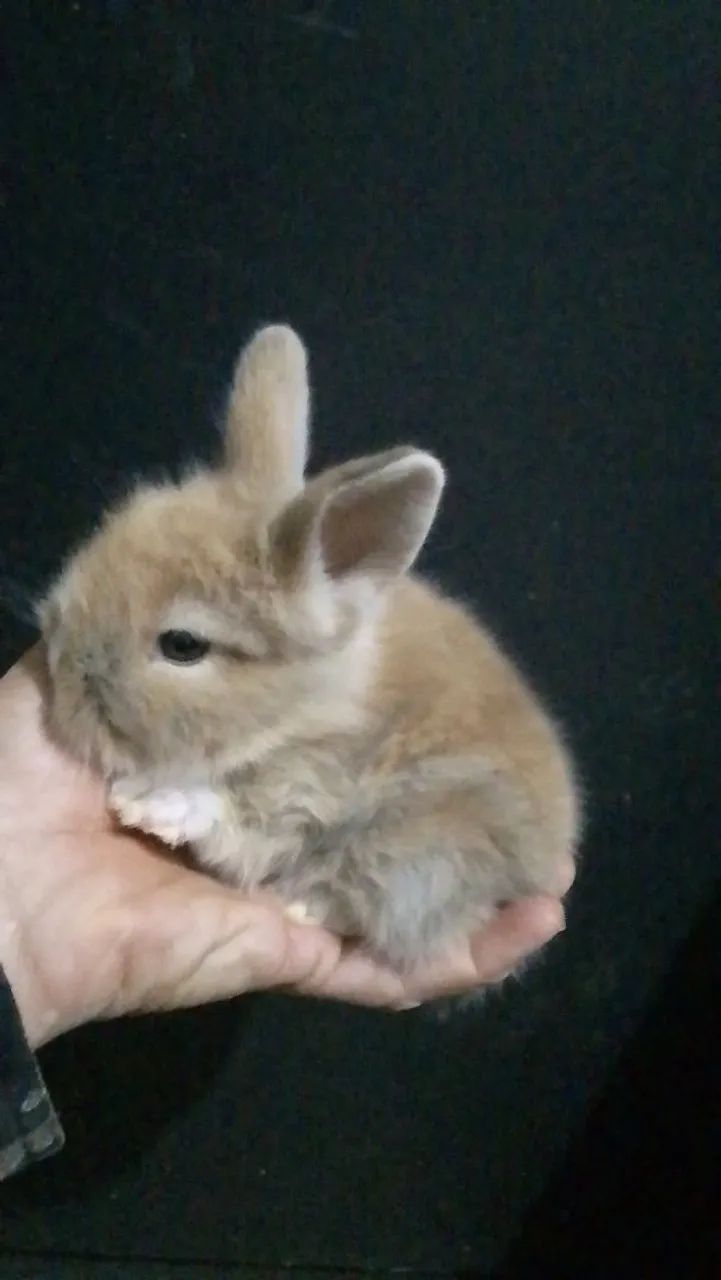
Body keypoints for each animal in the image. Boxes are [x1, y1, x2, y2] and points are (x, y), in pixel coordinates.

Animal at [39, 324, 579, 974]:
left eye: (183, 645)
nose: (58, 672)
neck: (298, 711)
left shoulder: (306, 793)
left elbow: (231, 818)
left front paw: (149, 806)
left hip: (424, 847)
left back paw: (303, 905)